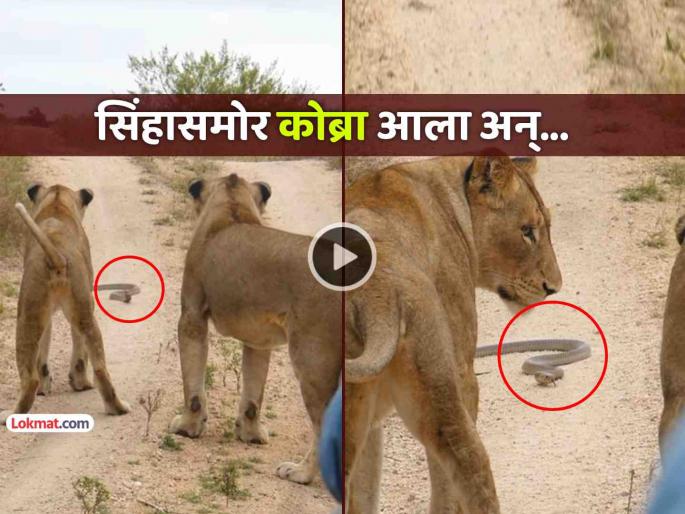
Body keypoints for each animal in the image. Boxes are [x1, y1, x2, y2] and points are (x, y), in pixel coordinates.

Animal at [0, 184, 130, 425]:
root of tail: (57, 255)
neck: (57, 204)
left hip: (28, 315)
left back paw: (12, 413)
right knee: (99, 367)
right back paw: (117, 407)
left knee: (30, 378)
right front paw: (64, 384)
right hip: (84, 314)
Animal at [169, 173, 341, 485]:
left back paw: (300, 473)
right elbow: (253, 391)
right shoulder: (259, 338)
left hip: (313, 361)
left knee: (323, 423)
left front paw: (187, 427)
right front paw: (251, 435)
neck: (232, 208)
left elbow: (193, 387)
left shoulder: (191, 316)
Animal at [344, 156, 562, 513]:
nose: (553, 288)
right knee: (469, 463)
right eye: (527, 231)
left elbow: (365, 485)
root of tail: (376, 294)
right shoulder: (463, 369)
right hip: (439, 382)